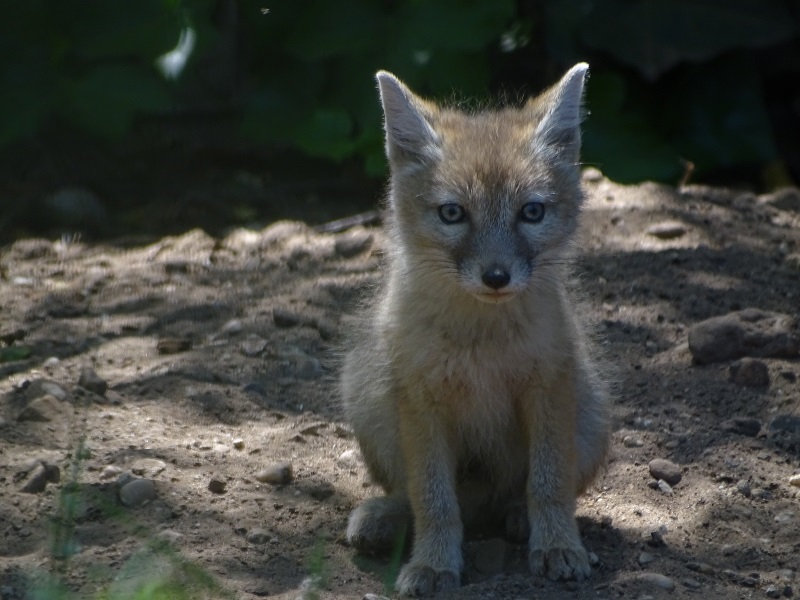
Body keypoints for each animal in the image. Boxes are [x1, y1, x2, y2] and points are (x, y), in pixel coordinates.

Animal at [340, 63, 611, 597]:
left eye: (531, 212)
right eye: (453, 213)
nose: (496, 277)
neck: (480, 344)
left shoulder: (548, 388)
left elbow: (549, 483)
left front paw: (557, 546)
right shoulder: (422, 404)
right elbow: (433, 500)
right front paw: (432, 564)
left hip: (591, 419)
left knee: (515, 494)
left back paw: (519, 518)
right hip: (368, 401)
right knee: (426, 497)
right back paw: (386, 518)